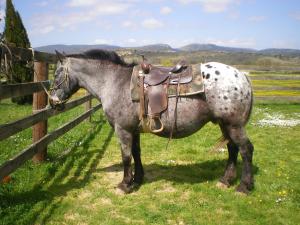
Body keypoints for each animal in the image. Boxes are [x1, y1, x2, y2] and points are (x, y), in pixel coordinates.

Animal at [49, 50, 255, 194]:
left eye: (57, 73)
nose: (52, 102)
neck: (114, 82)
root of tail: (242, 76)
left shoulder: (122, 129)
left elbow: (126, 157)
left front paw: (125, 184)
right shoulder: (134, 130)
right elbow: (136, 153)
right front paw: (137, 179)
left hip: (234, 125)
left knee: (245, 150)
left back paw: (244, 187)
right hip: (224, 124)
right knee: (232, 149)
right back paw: (225, 180)